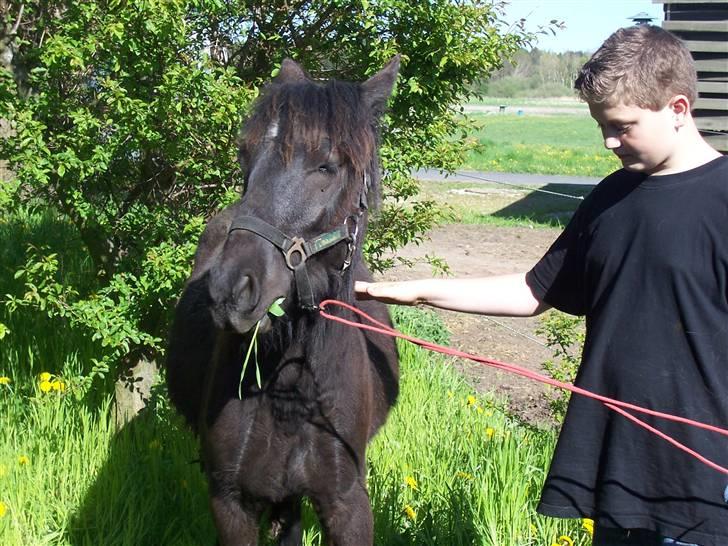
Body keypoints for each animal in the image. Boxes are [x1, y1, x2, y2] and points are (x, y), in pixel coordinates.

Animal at [166, 56, 401, 546]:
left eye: (326, 167)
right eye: (246, 156)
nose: (231, 290)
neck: (292, 392)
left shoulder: (347, 504)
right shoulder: (230, 504)